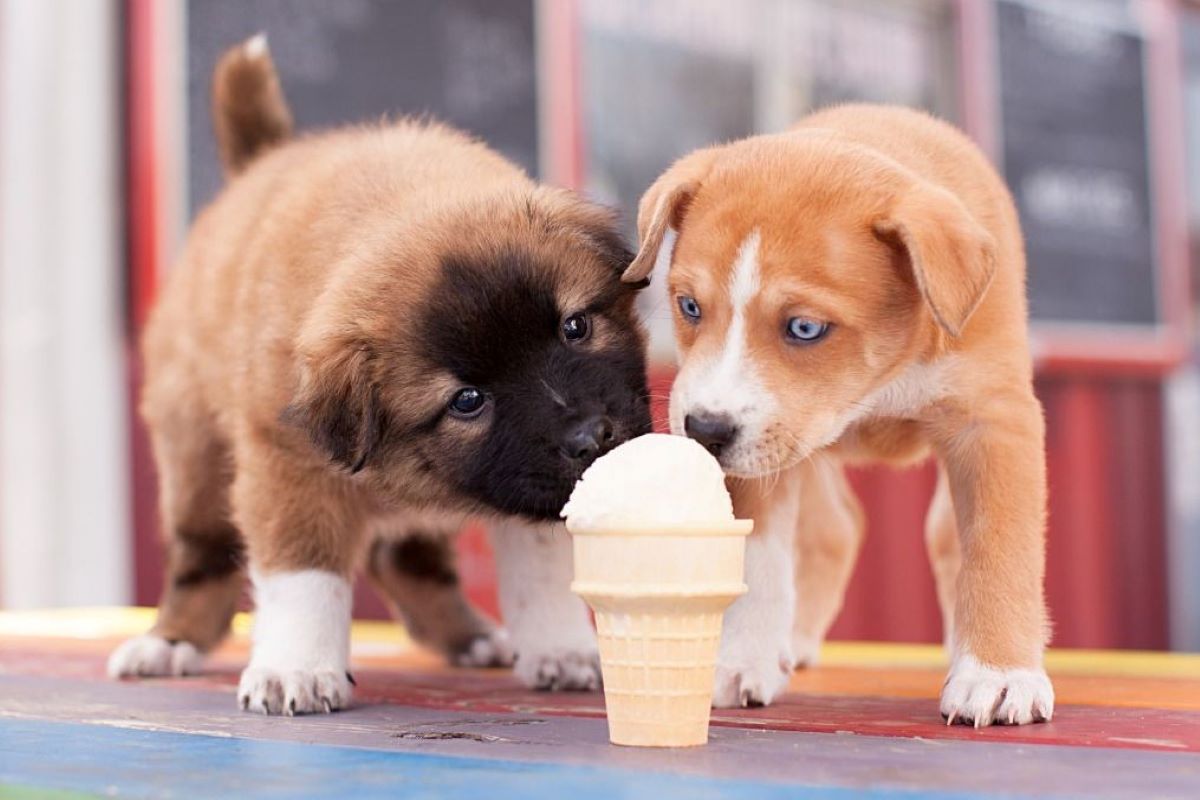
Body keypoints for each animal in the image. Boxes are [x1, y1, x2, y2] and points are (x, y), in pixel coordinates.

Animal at [110, 35, 657, 714]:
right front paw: (297, 668)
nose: (592, 438)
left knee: (407, 559)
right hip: (195, 458)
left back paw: (470, 637)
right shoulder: (289, 468)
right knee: (201, 558)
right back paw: (168, 643)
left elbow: (542, 570)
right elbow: (304, 575)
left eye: (575, 327)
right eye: (467, 400)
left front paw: (561, 648)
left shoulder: (537, 488)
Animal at [624, 104, 1056, 724]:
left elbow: (998, 547)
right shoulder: (759, 453)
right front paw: (741, 660)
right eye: (689, 307)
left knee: (943, 537)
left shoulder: (995, 423)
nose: (703, 431)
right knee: (834, 531)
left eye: (805, 327)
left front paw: (998, 675)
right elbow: (757, 558)